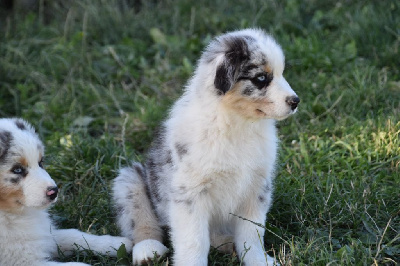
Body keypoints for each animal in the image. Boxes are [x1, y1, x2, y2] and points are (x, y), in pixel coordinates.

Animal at [0, 119, 134, 266]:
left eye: (40, 162)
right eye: (17, 170)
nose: (54, 192)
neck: (11, 213)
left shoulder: (46, 234)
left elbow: (72, 234)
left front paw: (116, 243)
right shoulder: (23, 261)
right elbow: (76, 264)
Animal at [114, 28, 298, 264]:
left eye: (282, 73)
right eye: (261, 78)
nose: (295, 101)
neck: (237, 124)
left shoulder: (257, 187)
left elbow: (252, 233)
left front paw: (259, 261)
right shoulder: (189, 194)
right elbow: (194, 240)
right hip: (129, 182)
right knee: (142, 221)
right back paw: (147, 249)